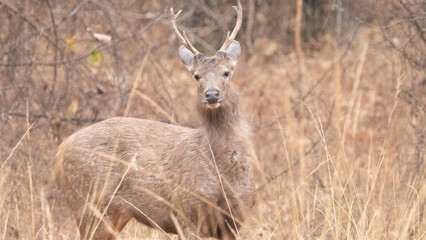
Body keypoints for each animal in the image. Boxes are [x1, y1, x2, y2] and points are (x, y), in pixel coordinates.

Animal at [57, 0, 256, 239]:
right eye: (196, 75)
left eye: (227, 72)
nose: (212, 94)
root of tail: (62, 148)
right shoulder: (186, 212)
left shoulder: (235, 219)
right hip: (88, 204)